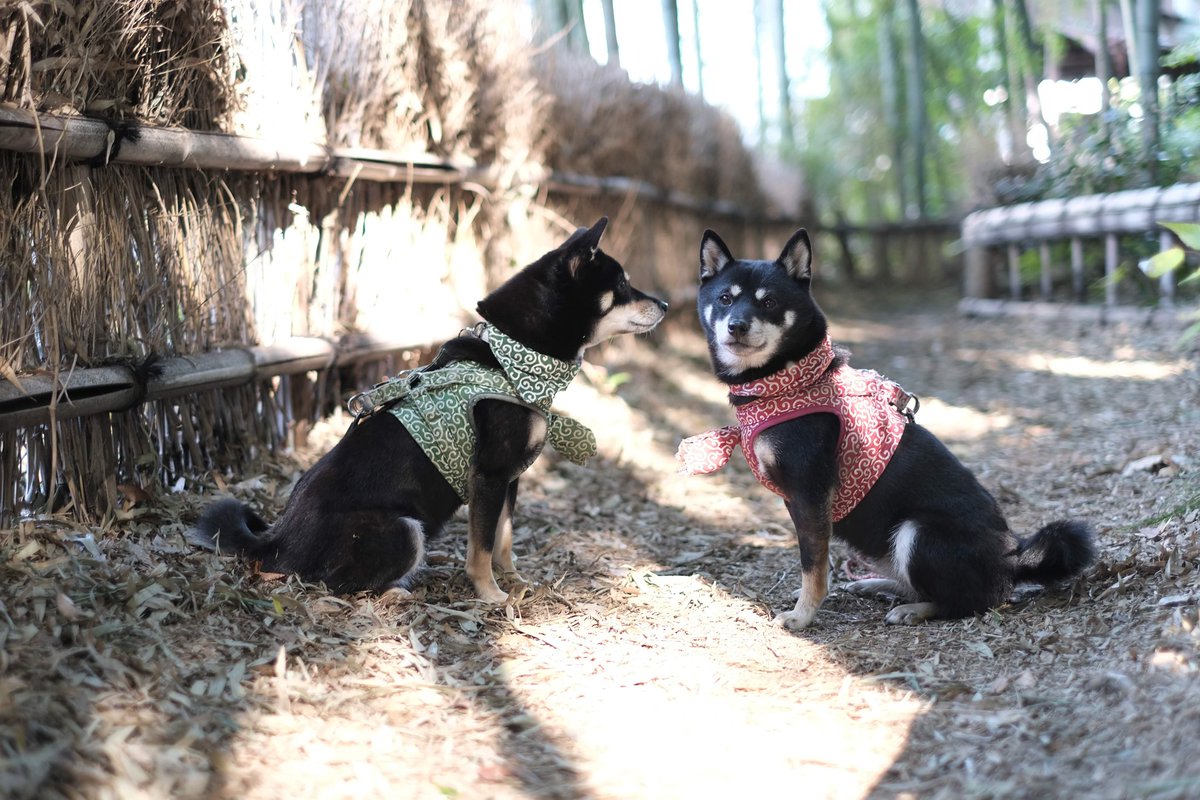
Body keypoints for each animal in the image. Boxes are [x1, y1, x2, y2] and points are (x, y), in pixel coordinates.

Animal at [192, 215, 672, 604]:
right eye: (622, 285)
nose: (666, 304)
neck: (513, 359)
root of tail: (276, 541)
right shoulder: (489, 476)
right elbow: (480, 548)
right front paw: (491, 595)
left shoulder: (510, 479)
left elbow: (503, 539)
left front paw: (514, 581)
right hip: (404, 530)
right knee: (336, 584)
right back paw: (393, 594)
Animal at [681, 227, 1094, 628]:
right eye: (725, 299)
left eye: (768, 303)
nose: (736, 325)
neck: (790, 380)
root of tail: (1011, 559)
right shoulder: (802, 501)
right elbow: (816, 560)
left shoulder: (810, 494)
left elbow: (813, 565)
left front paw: (803, 615)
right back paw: (877, 585)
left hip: (916, 532)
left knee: (970, 601)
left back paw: (915, 609)